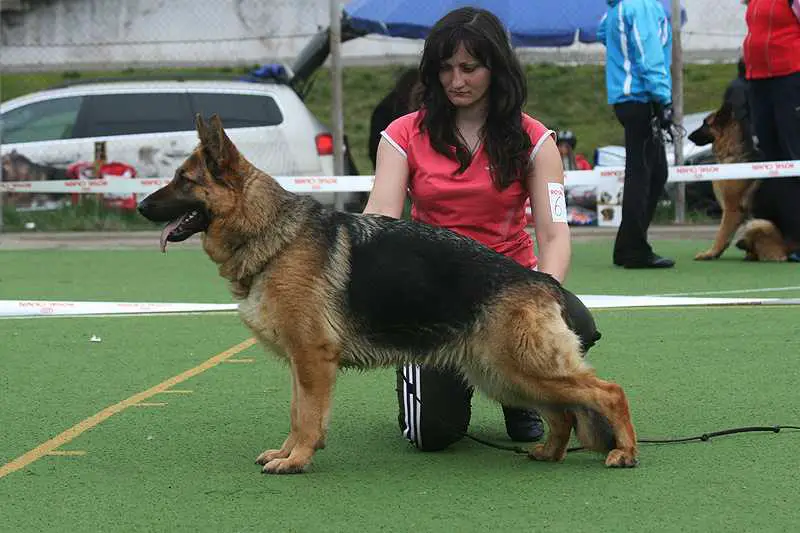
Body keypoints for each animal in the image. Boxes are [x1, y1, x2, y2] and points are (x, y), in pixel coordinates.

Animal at [138, 116, 636, 474]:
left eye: (184, 180)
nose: (141, 206)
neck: (272, 234)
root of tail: (544, 282)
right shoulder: (303, 363)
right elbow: (298, 411)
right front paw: (289, 452)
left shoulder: (312, 358)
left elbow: (306, 416)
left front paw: (297, 460)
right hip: (504, 374)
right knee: (564, 413)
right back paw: (550, 453)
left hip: (520, 367)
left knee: (608, 392)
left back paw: (625, 452)